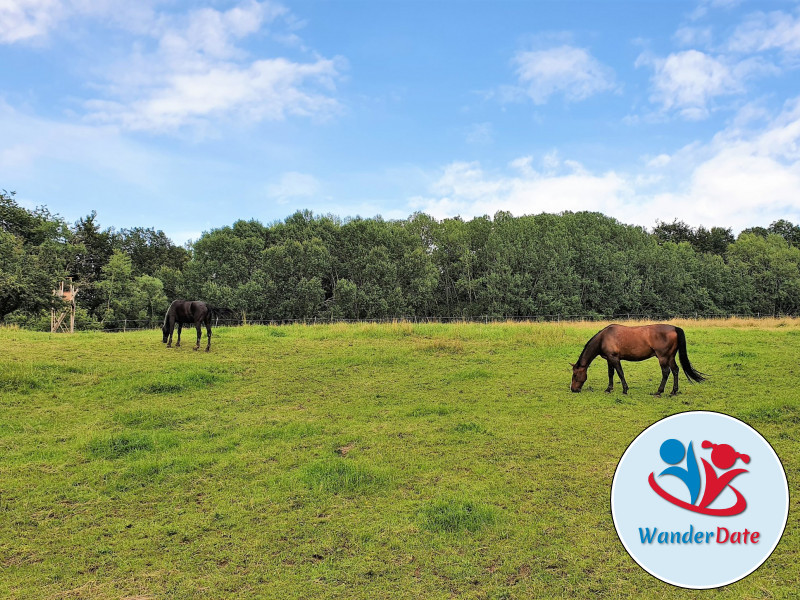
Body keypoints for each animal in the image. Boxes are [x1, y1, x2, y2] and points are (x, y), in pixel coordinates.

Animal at [568, 326, 708, 396]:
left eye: (575, 375)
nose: (573, 389)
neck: (604, 337)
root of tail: (674, 328)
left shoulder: (614, 358)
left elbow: (620, 373)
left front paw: (625, 390)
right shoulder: (609, 359)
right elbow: (611, 374)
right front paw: (608, 389)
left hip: (663, 357)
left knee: (666, 372)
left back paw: (659, 391)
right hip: (670, 357)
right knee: (675, 370)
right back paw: (673, 391)